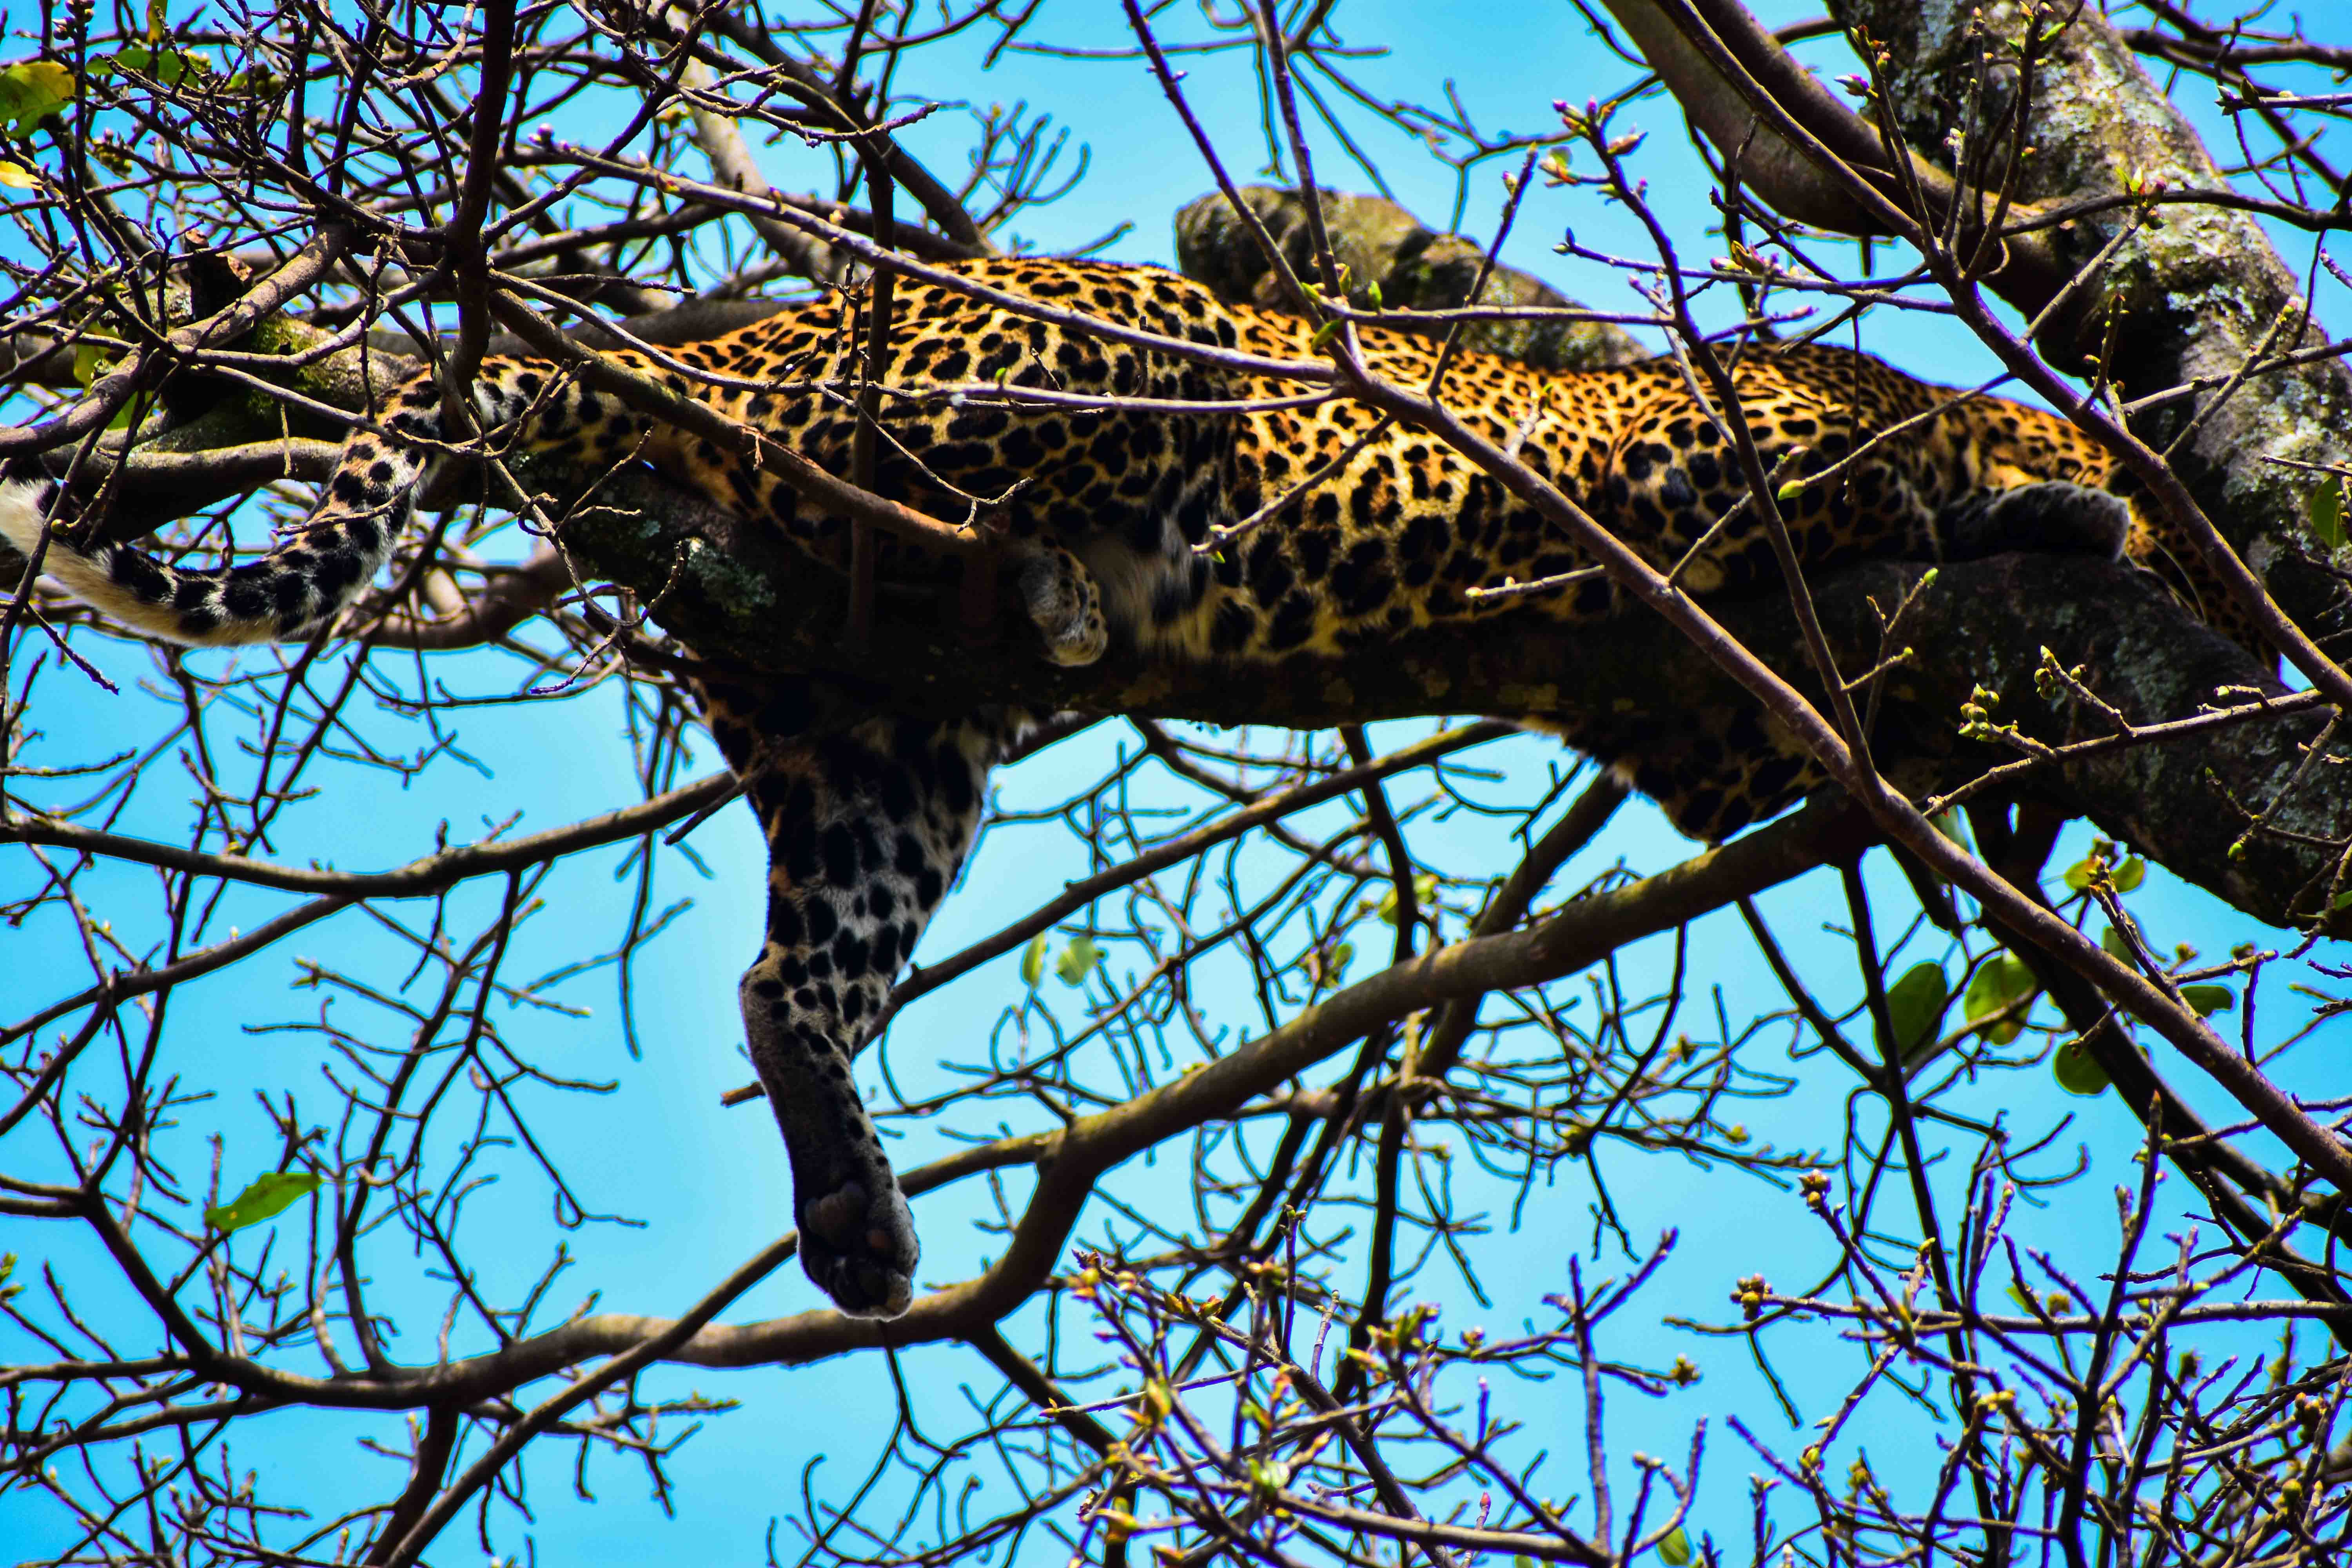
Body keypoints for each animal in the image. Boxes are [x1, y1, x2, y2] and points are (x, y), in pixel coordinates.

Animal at [0, 252, 2175, 1319]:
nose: (2158, 519)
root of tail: (701, 353)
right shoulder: (1686, 476)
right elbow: (1879, 469)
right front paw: (2063, 506)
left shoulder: (1693, 722)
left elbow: (1793, 744)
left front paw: (2015, 786)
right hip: (1109, 356)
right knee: (951, 440)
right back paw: (1049, 558)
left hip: (871, 757)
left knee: (784, 985)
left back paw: (856, 1220)